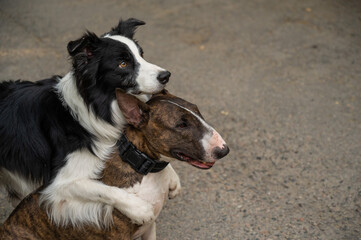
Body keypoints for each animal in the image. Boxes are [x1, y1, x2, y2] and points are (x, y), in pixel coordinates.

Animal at [0, 18, 172, 227]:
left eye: (142, 55)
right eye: (123, 64)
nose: (166, 75)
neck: (94, 108)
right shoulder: (59, 182)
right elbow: (103, 188)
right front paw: (139, 209)